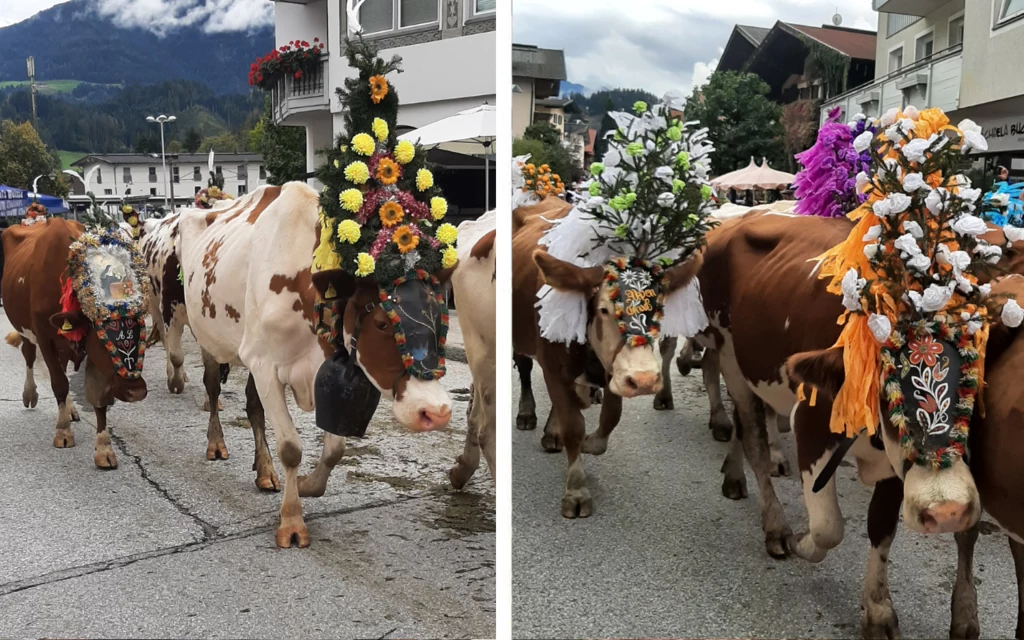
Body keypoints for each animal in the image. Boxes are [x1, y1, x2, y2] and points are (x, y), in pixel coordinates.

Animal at [1, 217, 149, 466]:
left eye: (141, 331)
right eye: (103, 336)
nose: (135, 392)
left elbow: (98, 394)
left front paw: (104, 448)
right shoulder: (45, 337)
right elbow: (59, 383)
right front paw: (63, 432)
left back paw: (69, 410)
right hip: (24, 330)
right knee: (29, 355)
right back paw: (30, 394)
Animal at [177, 182, 456, 544]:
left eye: (439, 318)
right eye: (382, 322)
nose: (436, 412)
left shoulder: (319, 371)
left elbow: (335, 448)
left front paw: (306, 484)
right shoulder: (265, 365)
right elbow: (290, 447)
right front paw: (292, 521)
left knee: (253, 407)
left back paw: (265, 471)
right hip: (209, 339)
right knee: (212, 390)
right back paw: (216, 444)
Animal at [512, 195, 704, 520]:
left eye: (659, 308)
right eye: (604, 309)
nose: (644, 379)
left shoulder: (615, 371)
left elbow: (609, 419)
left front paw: (589, 443)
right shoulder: (553, 365)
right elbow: (574, 425)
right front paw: (577, 490)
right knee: (525, 368)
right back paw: (528, 415)